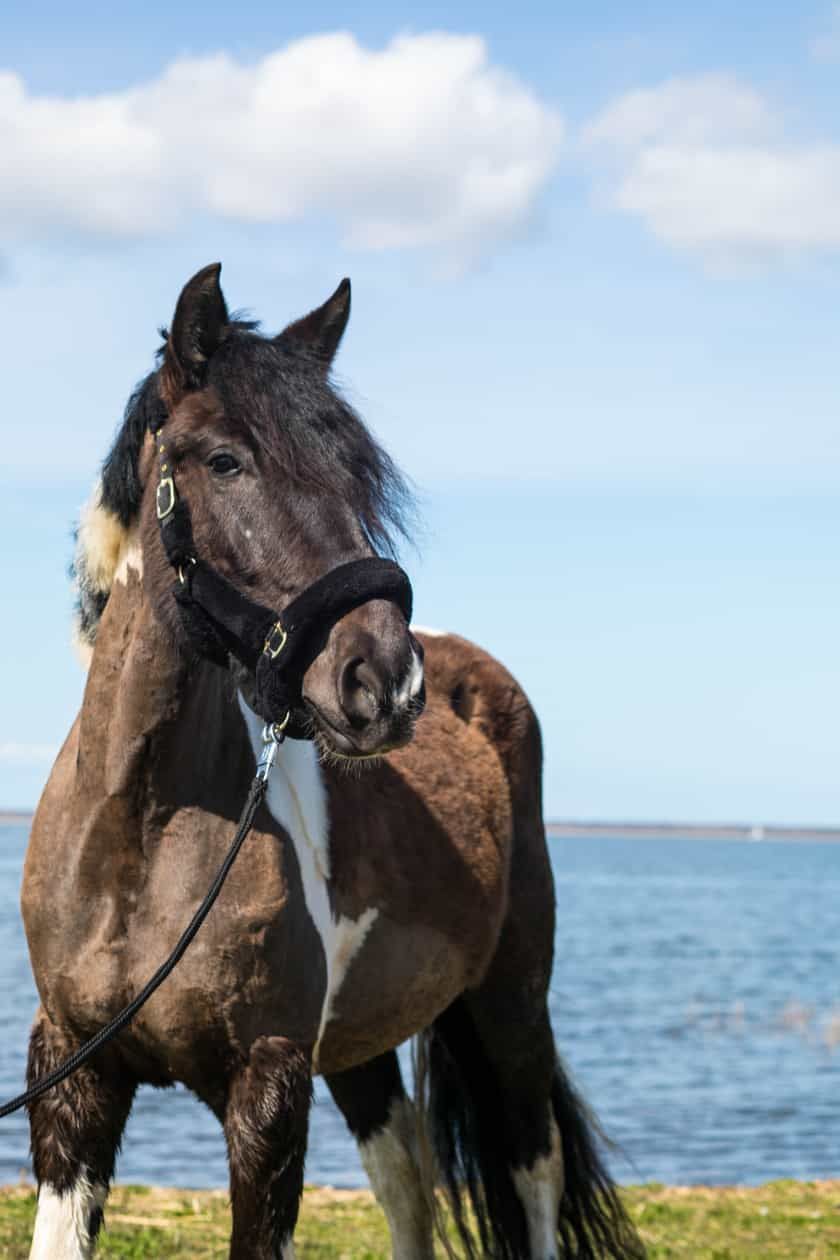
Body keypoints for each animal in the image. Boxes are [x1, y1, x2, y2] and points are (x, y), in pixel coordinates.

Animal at [20, 264, 644, 1260]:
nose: (385, 679)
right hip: (363, 1043)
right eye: (224, 460)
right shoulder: (74, 1078)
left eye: (355, 473)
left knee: (533, 1167)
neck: (139, 835)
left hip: (510, 1002)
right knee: (407, 1181)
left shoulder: (268, 1088)